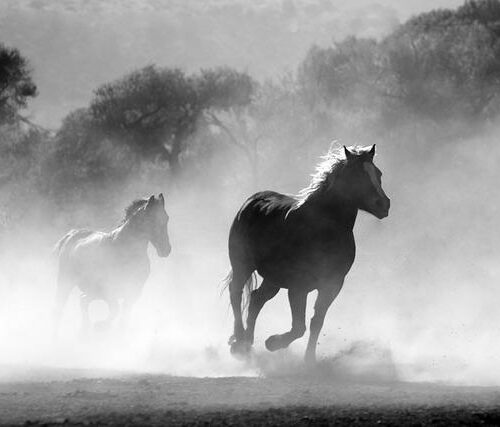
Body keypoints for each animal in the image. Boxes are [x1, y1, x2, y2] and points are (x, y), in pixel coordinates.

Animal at [52, 195, 170, 338]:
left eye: (166, 218)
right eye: (152, 220)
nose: (166, 250)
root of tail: (71, 235)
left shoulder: (133, 292)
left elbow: (124, 318)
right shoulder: (109, 290)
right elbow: (115, 310)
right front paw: (100, 326)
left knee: (83, 301)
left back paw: (84, 331)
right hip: (65, 282)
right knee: (59, 307)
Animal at [227, 145, 390, 362]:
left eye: (378, 174)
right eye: (357, 175)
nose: (384, 204)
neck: (323, 230)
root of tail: (251, 201)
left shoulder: (332, 285)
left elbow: (316, 322)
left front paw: (309, 360)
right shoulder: (298, 287)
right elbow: (299, 327)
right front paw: (273, 343)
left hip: (273, 279)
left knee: (255, 300)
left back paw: (247, 343)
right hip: (242, 265)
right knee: (236, 292)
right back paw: (238, 341)